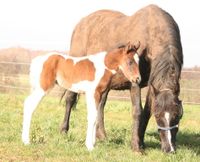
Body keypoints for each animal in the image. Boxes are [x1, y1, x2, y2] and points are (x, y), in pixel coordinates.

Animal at [61, 4, 184, 153]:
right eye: (158, 115)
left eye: (178, 115)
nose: (169, 149)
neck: (152, 31)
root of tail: (80, 24)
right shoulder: (135, 82)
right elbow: (137, 111)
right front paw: (136, 146)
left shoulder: (153, 85)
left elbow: (146, 112)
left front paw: (141, 142)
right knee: (70, 98)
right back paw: (64, 130)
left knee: (100, 105)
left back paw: (101, 135)